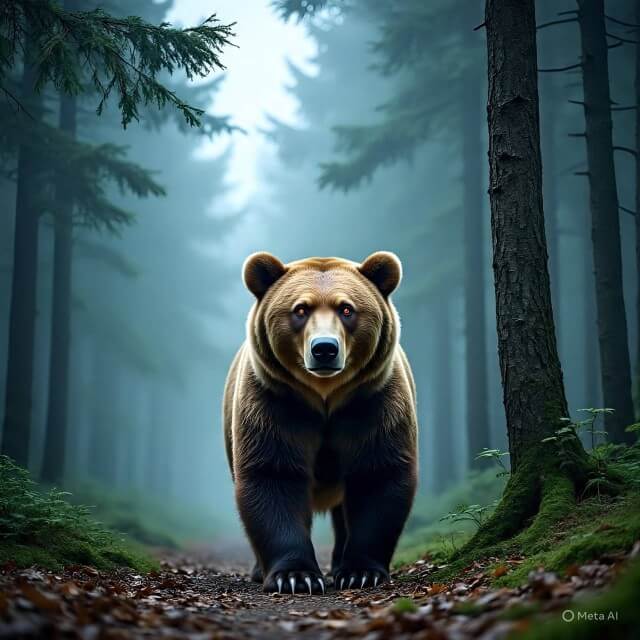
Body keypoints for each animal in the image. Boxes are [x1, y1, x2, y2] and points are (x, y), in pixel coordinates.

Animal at [223, 251, 418, 594]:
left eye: (346, 308)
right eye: (300, 309)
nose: (324, 348)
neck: (325, 398)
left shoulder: (373, 403)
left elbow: (377, 474)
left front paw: (360, 572)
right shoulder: (275, 404)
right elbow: (273, 475)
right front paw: (295, 576)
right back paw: (259, 570)